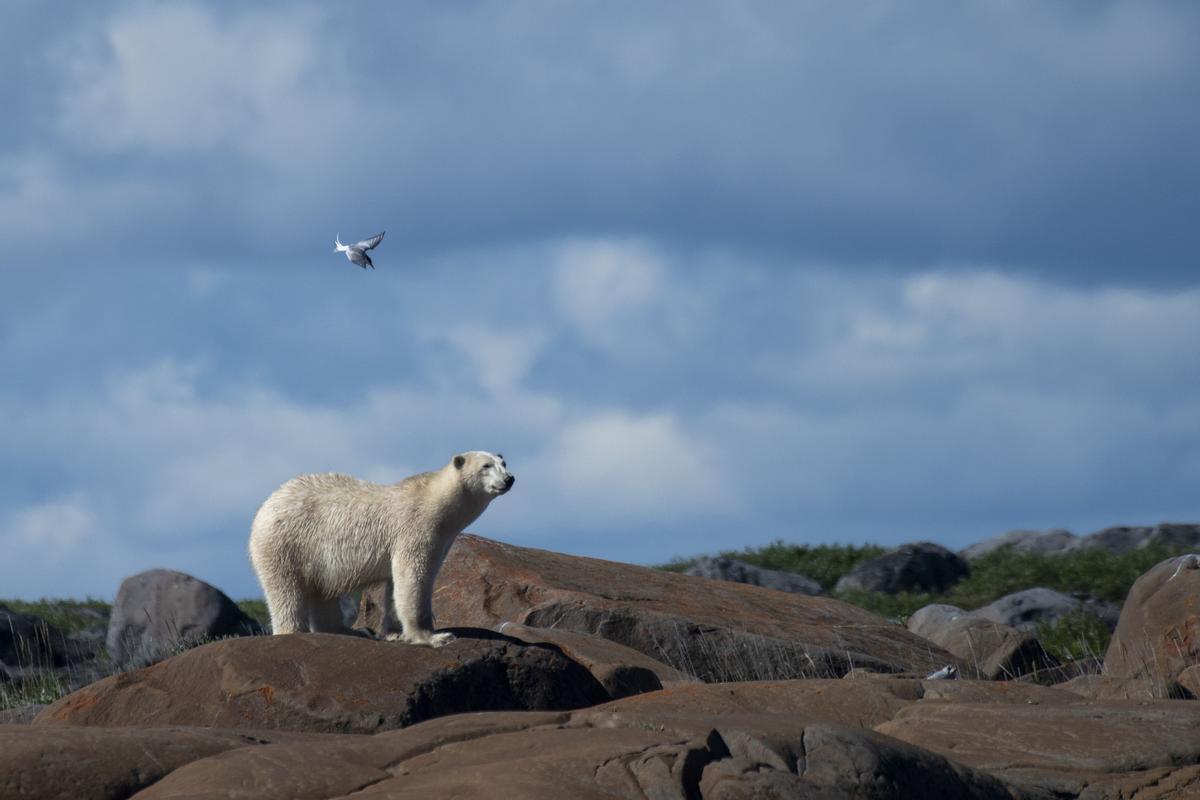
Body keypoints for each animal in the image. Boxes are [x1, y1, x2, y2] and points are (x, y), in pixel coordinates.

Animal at [250, 453, 513, 647]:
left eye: (503, 462)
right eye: (486, 465)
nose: (509, 479)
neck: (433, 501)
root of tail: (266, 505)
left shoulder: (438, 540)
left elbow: (395, 586)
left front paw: (396, 633)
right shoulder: (415, 530)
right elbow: (413, 579)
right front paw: (434, 636)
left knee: (321, 592)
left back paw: (351, 631)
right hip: (285, 543)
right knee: (286, 591)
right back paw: (294, 631)